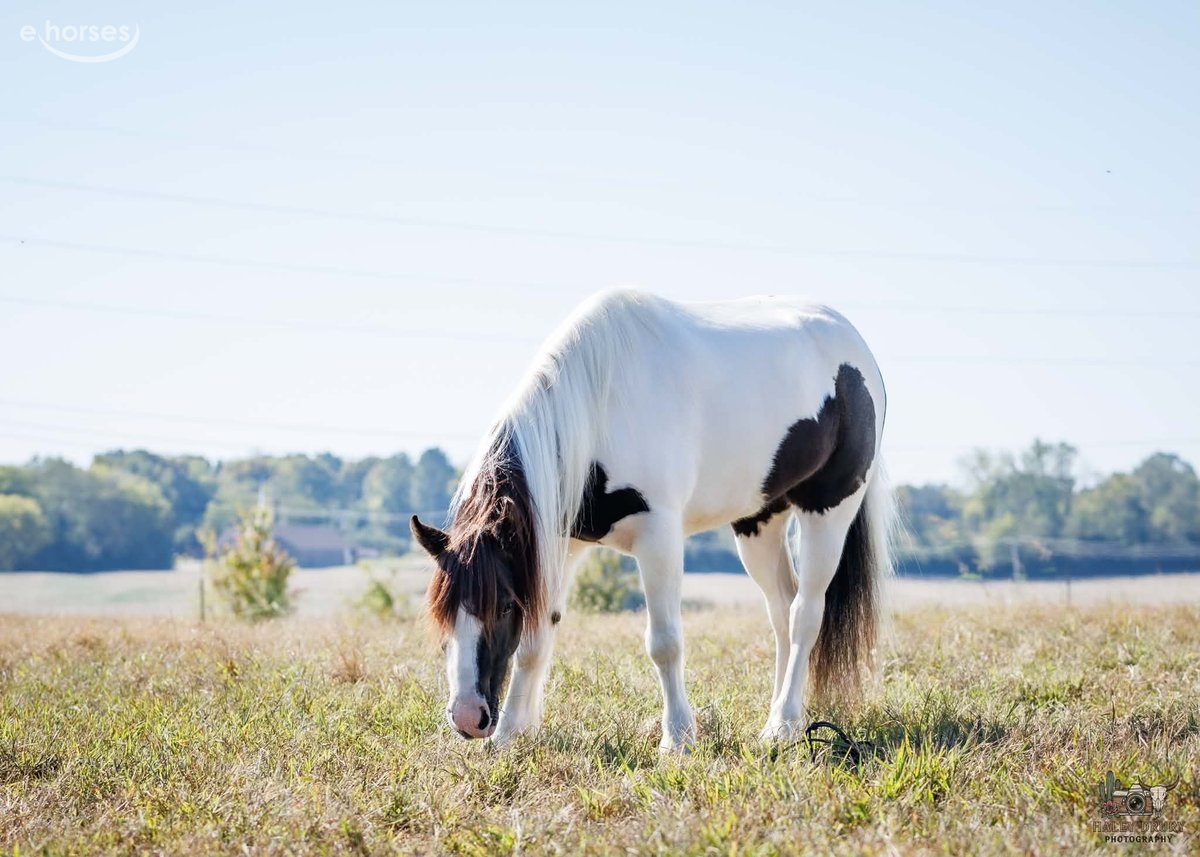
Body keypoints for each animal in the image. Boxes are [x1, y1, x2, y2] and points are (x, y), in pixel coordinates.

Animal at [411, 289, 893, 749]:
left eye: (504, 605)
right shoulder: (557, 545)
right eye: (443, 611)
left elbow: (665, 643)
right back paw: (780, 719)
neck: (599, 404)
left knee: (805, 614)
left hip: (829, 512)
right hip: (760, 520)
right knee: (781, 611)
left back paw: (783, 723)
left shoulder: (658, 537)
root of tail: (853, 342)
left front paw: (677, 738)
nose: (467, 717)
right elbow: (536, 639)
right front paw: (511, 733)